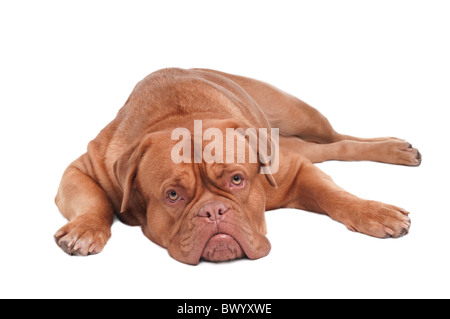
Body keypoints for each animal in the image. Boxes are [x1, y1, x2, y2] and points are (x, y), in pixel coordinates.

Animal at [53, 69, 422, 266]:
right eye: (172, 195)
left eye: (236, 179)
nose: (214, 211)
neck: (177, 116)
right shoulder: (84, 169)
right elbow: (93, 201)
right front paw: (85, 229)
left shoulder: (293, 170)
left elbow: (334, 195)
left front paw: (373, 212)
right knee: (332, 147)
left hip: (300, 115)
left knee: (338, 137)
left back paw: (397, 148)